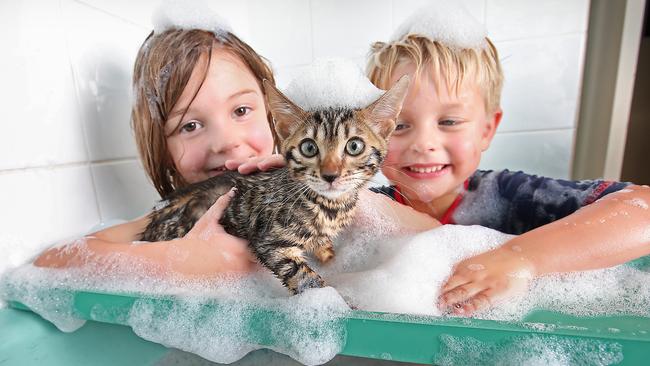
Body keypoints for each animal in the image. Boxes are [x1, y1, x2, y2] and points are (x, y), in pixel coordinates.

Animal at [139, 77, 408, 294]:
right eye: (309, 147)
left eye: (354, 146)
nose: (330, 175)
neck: (330, 207)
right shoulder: (271, 241)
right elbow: (306, 279)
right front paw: (341, 302)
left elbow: (324, 248)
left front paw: (331, 259)